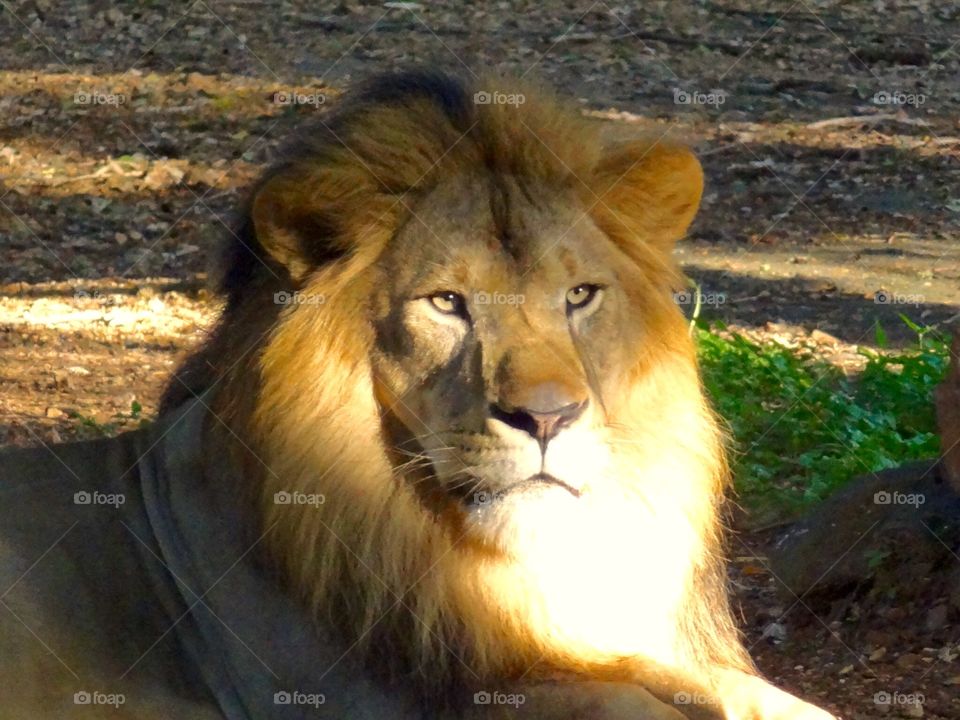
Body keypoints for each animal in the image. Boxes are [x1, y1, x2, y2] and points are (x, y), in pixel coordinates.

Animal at [0, 70, 834, 719]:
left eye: (579, 295)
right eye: (446, 303)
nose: (548, 416)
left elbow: (747, 693)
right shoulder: (338, 695)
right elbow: (616, 699)